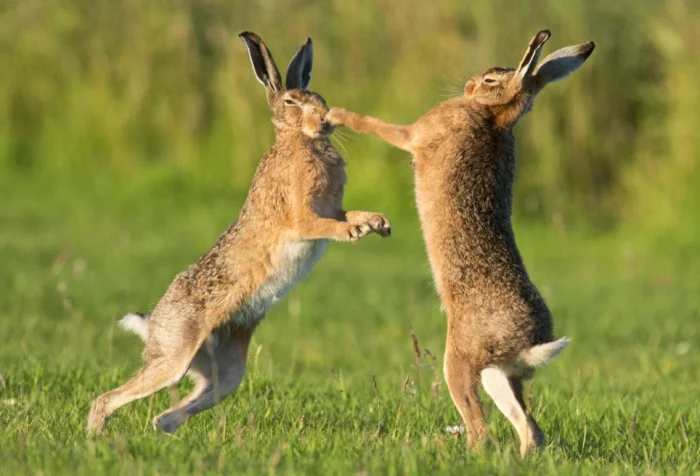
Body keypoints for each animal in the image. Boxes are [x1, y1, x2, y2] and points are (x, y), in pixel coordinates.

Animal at [87, 31, 391, 435]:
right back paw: (94, 438)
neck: (300, 140)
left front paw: (377, 222)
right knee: (107, 399)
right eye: (292, 102)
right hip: (174, 357)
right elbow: (322, 225)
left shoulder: (331, 206)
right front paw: (356, 229)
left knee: (166, 416)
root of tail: (152, 324)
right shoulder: (302, 216)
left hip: (225, 374)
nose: (326, 120)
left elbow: (346, 213)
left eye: (320, 97)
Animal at [327, 30, 594, 456]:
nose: (469, 86)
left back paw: (455, 450)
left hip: (459, 361)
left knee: (481, 428)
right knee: (528, 427)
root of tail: (526, 342)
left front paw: (335, 114)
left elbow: (384, 128)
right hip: (497, 373)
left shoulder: (417, 133)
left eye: (490, 80)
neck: (495, 117)